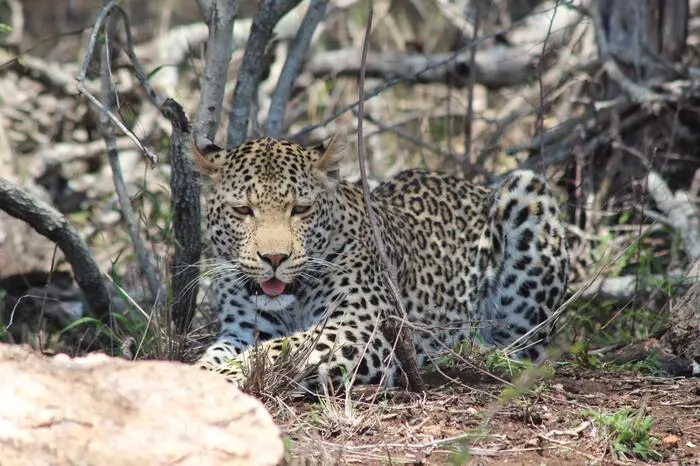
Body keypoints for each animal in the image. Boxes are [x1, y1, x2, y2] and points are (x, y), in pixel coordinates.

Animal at [194, 135, 569, 392]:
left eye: (300, 209)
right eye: (243, 210)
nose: (274, 259)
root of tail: (472, 186)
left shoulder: (361, 328)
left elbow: (276, 350)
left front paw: (222, 377)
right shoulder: (243, 330)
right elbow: (221, 352)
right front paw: (200, 373)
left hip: (527, 191)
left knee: (526, 349)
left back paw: (468, 347)